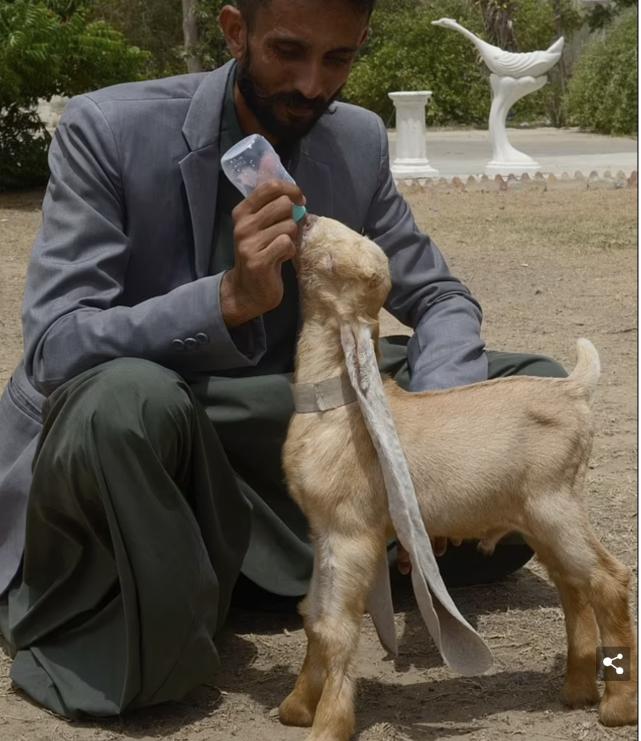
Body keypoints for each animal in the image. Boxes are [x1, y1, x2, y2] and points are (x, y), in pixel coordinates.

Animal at [278, 214, 637, 741]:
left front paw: (328, 725)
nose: (304, 219)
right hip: (537, 517)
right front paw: (297, 707)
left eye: (332, 256)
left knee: (608, 579)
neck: (339, 407)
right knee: (573, 586)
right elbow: (315, 615)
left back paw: (616, 708)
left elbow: (337, 626)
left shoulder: (350, 531)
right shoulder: (323, 531)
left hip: (557, 504)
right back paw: (576, 691)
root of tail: (574, 389)